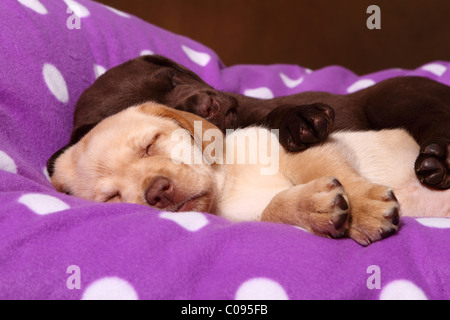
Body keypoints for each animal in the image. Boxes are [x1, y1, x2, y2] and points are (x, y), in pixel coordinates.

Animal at [49, 102, 450, 245]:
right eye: (111, 197)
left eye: (150, 144)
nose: (157, 191)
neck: (228, 184)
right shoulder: (248, 217)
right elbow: (272, 209)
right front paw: (313, 207)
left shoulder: (300, 149)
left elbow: (332, 169)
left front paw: (364, 209)